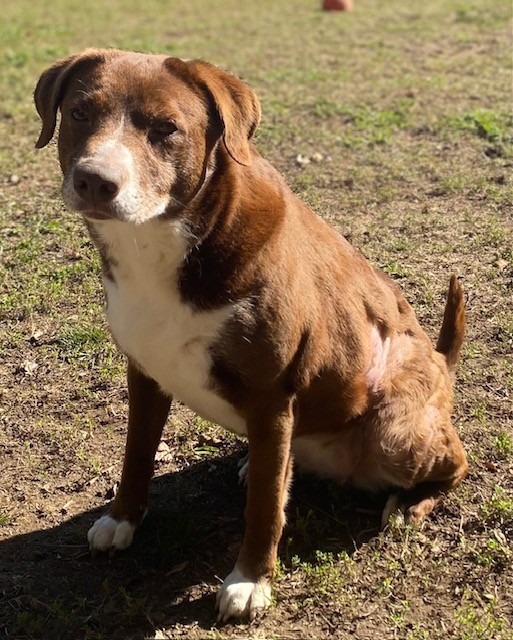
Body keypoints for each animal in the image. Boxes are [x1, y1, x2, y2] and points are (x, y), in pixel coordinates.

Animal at [34, 48, 468, 620]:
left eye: (167, 129)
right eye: (81, 112)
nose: (95, 181)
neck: (166, 241)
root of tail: (442, 363)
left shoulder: (272, 397)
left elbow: (264, 505)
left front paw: (250, 581)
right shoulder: (146, 373)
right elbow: (137, 453)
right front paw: (121, 519)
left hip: (396, 432)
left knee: (455, 461)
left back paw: (410, 503)